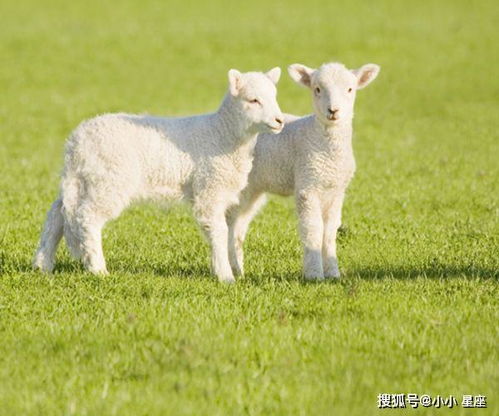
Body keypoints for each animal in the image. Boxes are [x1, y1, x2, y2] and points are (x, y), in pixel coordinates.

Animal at [33, 67, 286, 282]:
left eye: (274, 97)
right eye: (253, 100)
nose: (279, 121)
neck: (222, 134)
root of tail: (76, 142)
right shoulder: (210, 188)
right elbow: (219, 231)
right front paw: (225, 277)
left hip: (84, 180)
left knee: (57, 214)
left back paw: (42, 264)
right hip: (110, 180)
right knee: (87, 217)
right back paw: (98, 269)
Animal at [229, 61, 380, 282]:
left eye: (350, 89)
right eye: (317, 89)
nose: (333, 110)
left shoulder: (336, 191)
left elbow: (330, 232)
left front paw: (333, 273)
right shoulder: (307, 186)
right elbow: (313, 230)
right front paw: (314, 274)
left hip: (253, 188)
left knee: (238, 228)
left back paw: (239, 272)